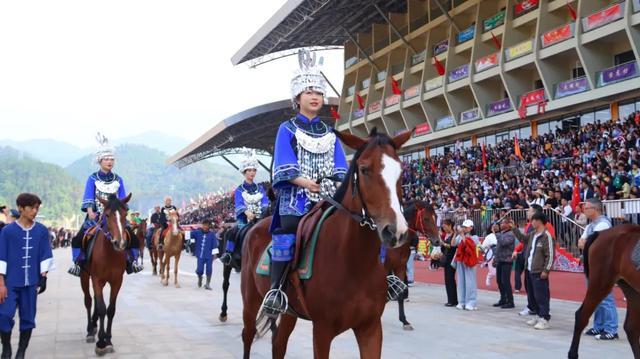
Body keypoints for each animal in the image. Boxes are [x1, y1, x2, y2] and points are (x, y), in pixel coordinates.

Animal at [82, 193, 133, 356]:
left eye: (125, 214)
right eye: (108, 215)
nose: (120, 243)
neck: (109, 253)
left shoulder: (117, 281)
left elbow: (110, 309)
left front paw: (108, 340)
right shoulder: (96, 279)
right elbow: (102, 308)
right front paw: (101, 342)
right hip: (85, 277)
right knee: (88, 301)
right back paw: (90, 330)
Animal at [241, 129, 416, 359]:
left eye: (401, 172)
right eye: (365, 169)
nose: (396, 230)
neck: (354, 262)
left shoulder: (370, 328)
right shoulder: (322, 330)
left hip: (289, 312)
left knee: (278, 344)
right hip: (250, 298)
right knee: (248, 334)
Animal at [384, 201, 440, 330]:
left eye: (436, 217)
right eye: (425, 218)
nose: (437, 241)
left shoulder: (400, 266)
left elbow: (399, 289)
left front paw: (404, 321)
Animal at [568, 225, 640, 358]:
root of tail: (601, 233)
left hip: (632, 290)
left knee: (631, 328)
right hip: (600, 283)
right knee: (581, 316)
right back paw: (573, 354)